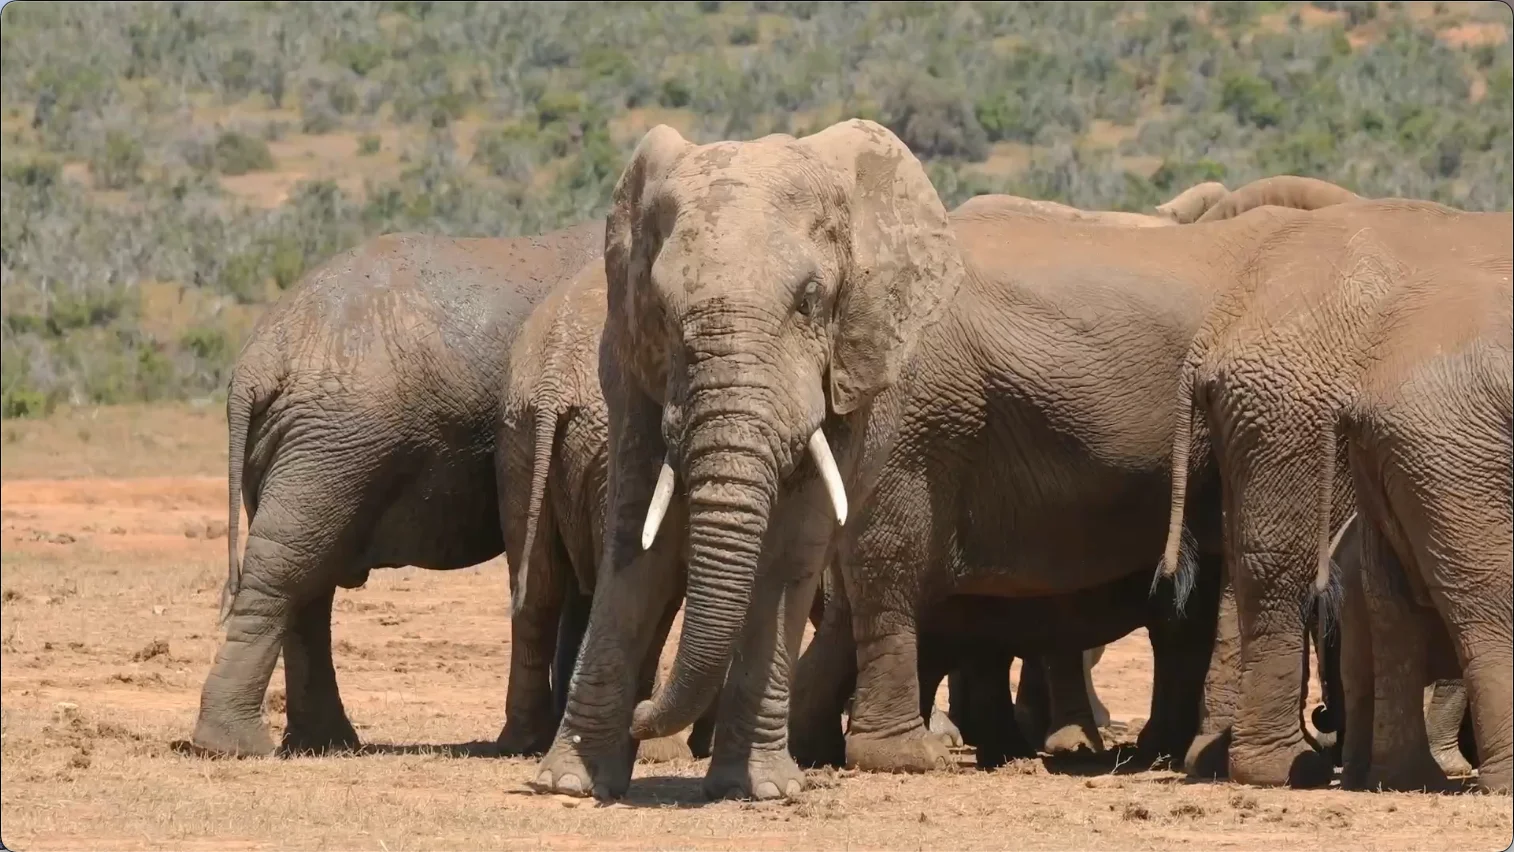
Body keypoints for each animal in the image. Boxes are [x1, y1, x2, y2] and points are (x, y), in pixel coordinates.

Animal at [188, 223, 604, 758]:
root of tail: (257, 362)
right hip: (335, 440)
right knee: (288, 567)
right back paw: (237, 745)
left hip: (300, 441)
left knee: (306, 575)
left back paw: (320, 743)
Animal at [528, 120, 1363, 802]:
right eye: (664, 307)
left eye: (810, 300)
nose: (648, 718)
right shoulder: (634, 348)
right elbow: (641, 534)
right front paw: (572, 784)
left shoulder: (875, 364)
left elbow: (802, 544)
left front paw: (775, 785)